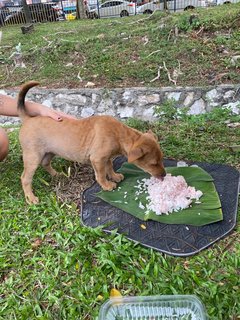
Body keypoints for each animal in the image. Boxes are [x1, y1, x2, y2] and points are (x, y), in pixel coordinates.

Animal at [17, 81, 167, 204]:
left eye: (161, 159)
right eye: (153, 163)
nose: (164, 175)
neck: (119, 134)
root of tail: (28, 119)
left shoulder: (106, 157)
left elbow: (109, 167)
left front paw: (114, 176)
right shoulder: (98, 159)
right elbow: (100, 175)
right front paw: (107, 185)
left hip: (49, 152)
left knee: (45, 163)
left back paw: (56, 175)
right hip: (32, 157)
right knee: (25, 178)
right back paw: (31, 198)